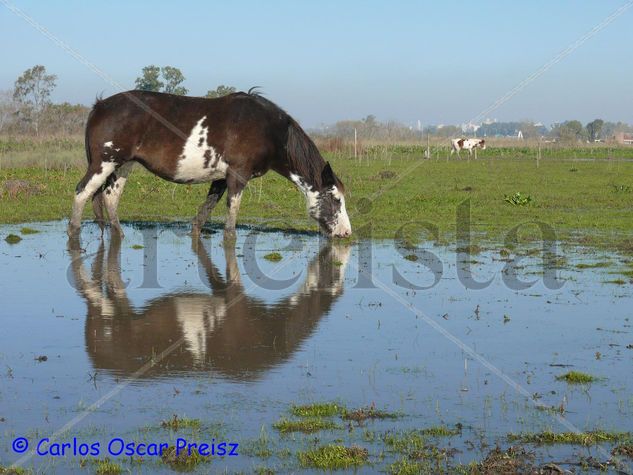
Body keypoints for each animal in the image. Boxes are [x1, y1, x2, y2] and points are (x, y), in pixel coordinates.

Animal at [67, 89, 354, 238]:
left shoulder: (221, 178)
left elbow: (204, 214)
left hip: (123, 165)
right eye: (335, 199)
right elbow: (230, 220)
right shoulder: (238, 175)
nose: (346, 233)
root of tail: (100, 106)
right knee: (82, 193)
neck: (268, 128)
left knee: (109, 197)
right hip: (104, 162)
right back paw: (74, 233)